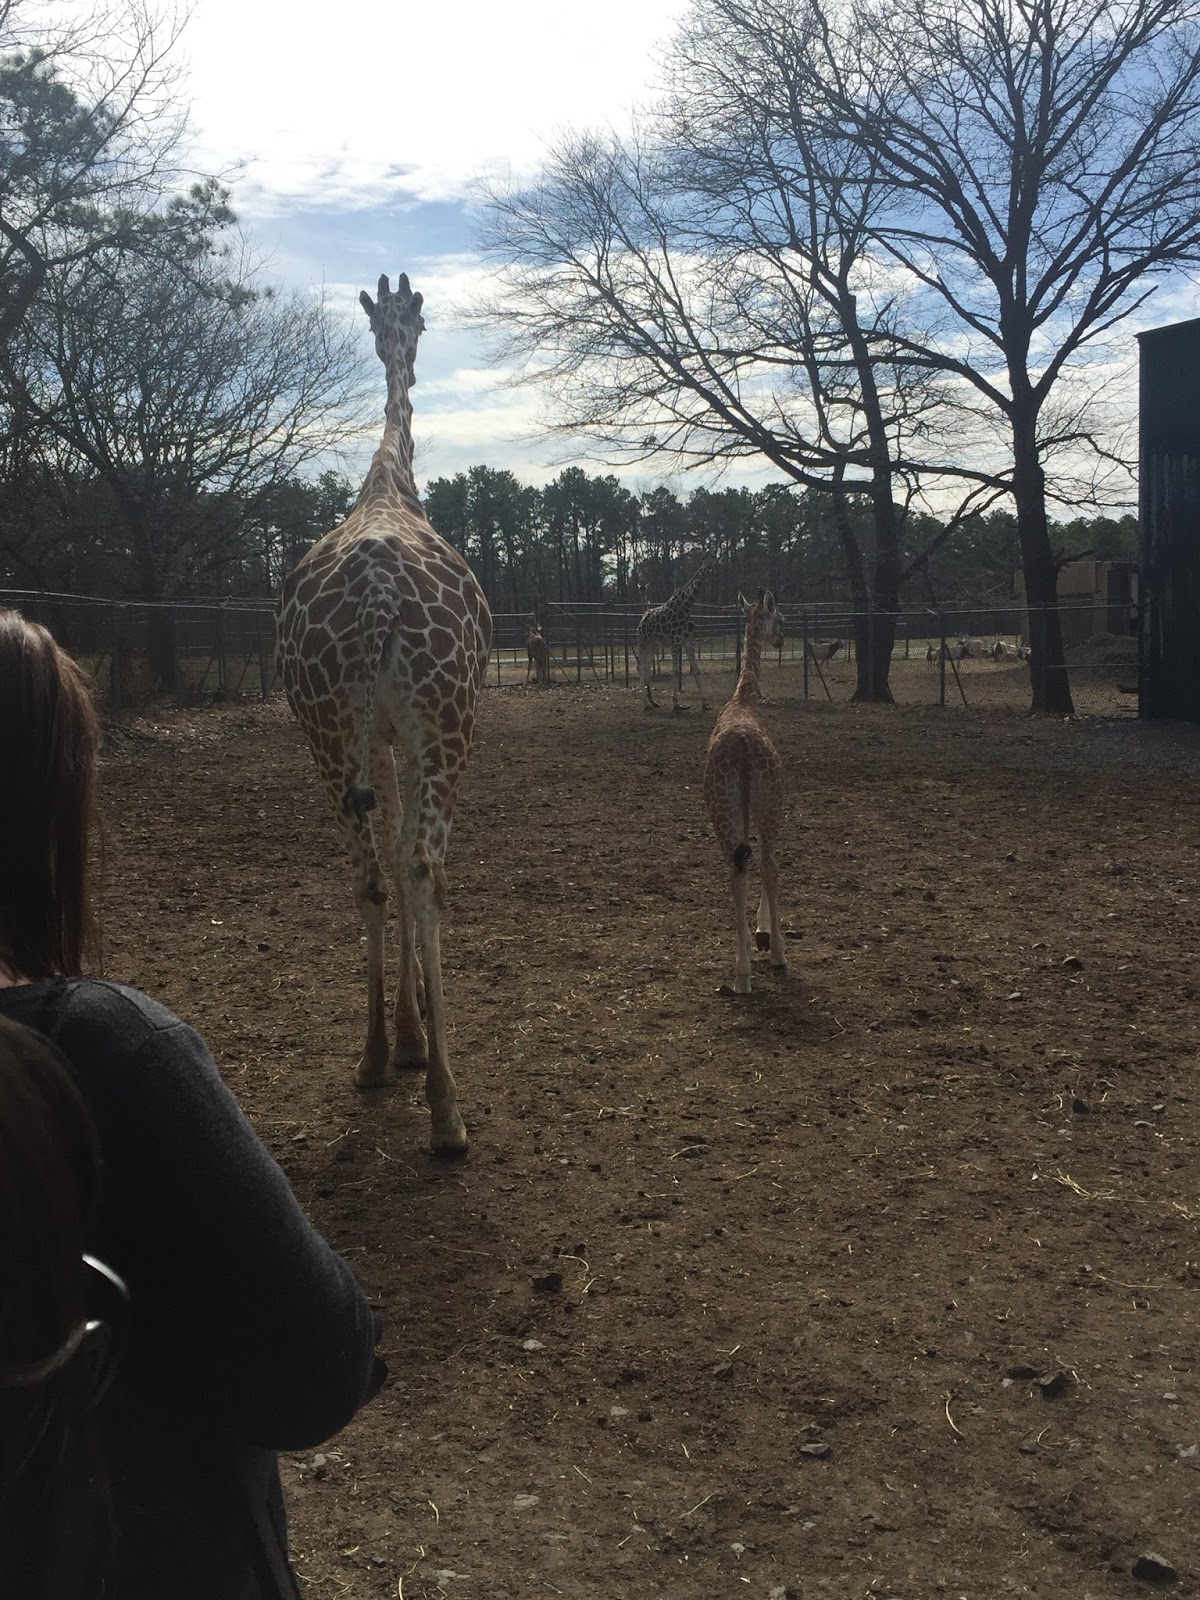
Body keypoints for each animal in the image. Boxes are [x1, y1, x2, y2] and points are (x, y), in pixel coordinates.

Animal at [634, 554, 715, 711]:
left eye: (713, 558)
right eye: (705, 560)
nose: (709, 567)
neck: (687, 605)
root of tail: (642, 619)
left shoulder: (689, 641)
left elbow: (696, 670)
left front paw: (705, 703)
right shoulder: (675, 642)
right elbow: (676, 671)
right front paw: (676, 703)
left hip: (654, 646)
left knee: (646, 667)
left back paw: (653, 702)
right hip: (643, 642)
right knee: (640, 666)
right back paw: (645, 704)